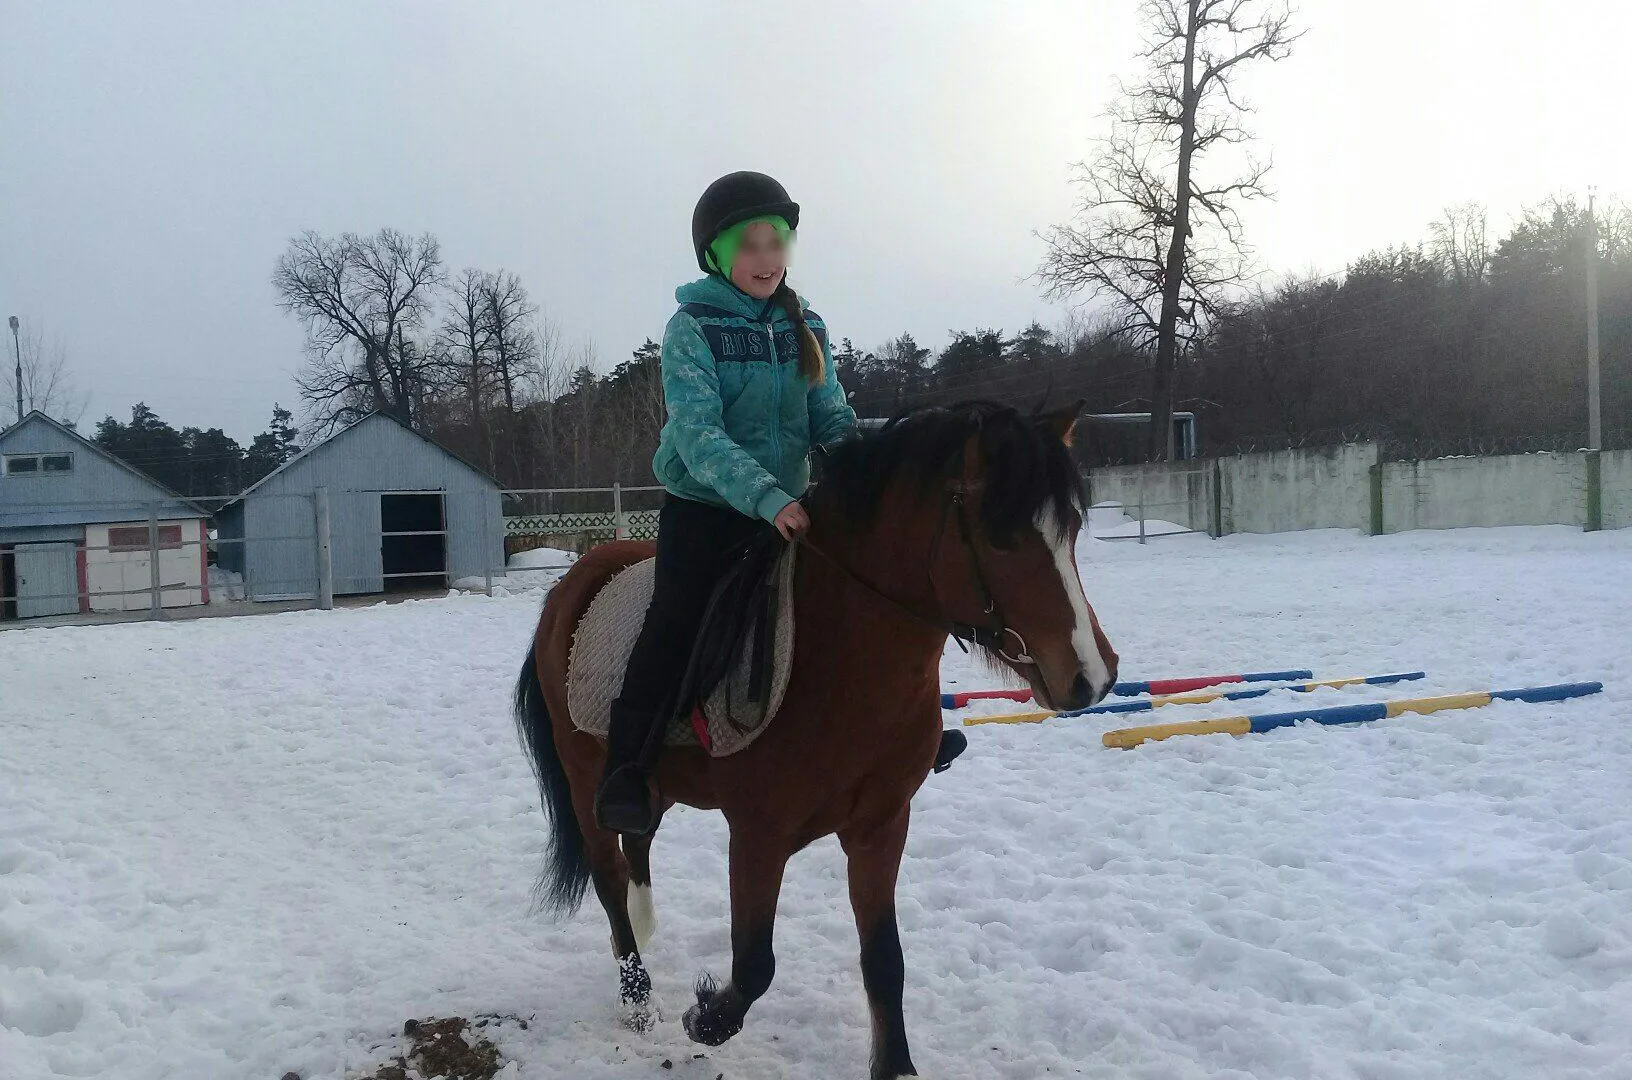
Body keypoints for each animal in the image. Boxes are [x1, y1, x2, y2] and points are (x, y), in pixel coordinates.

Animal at [513, 400, 1120, 1079]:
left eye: (1071, 528)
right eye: (1000, 538)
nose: (1092, 677)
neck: (840, 659)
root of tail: (570, 585)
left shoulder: (881, 825)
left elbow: (884, 961)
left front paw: (895, 1066)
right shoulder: (758, 835)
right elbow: (754, 964)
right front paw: (705, 1018)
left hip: (656, 781)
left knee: (637, 840)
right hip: (584, 776)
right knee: (609, 874)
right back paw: (639, 998)